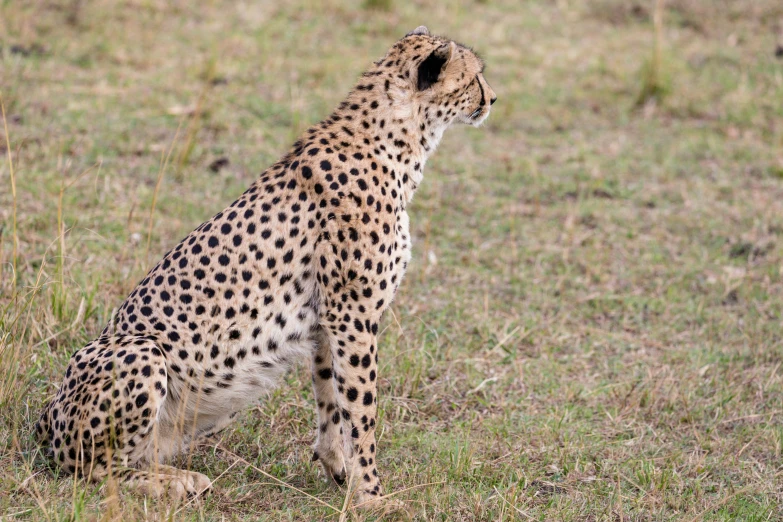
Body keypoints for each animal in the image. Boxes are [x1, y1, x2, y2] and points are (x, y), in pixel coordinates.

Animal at [35, 26, 496, 506]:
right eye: (474, 77)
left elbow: (331, 398)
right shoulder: (353, 314)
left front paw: (339, 470)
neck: (396, 140)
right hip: (141, 353)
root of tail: (46, 417)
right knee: (92, 469)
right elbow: (362, 410)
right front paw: (373, 496)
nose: (494, 98)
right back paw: (178, 482)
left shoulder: (329, 319)